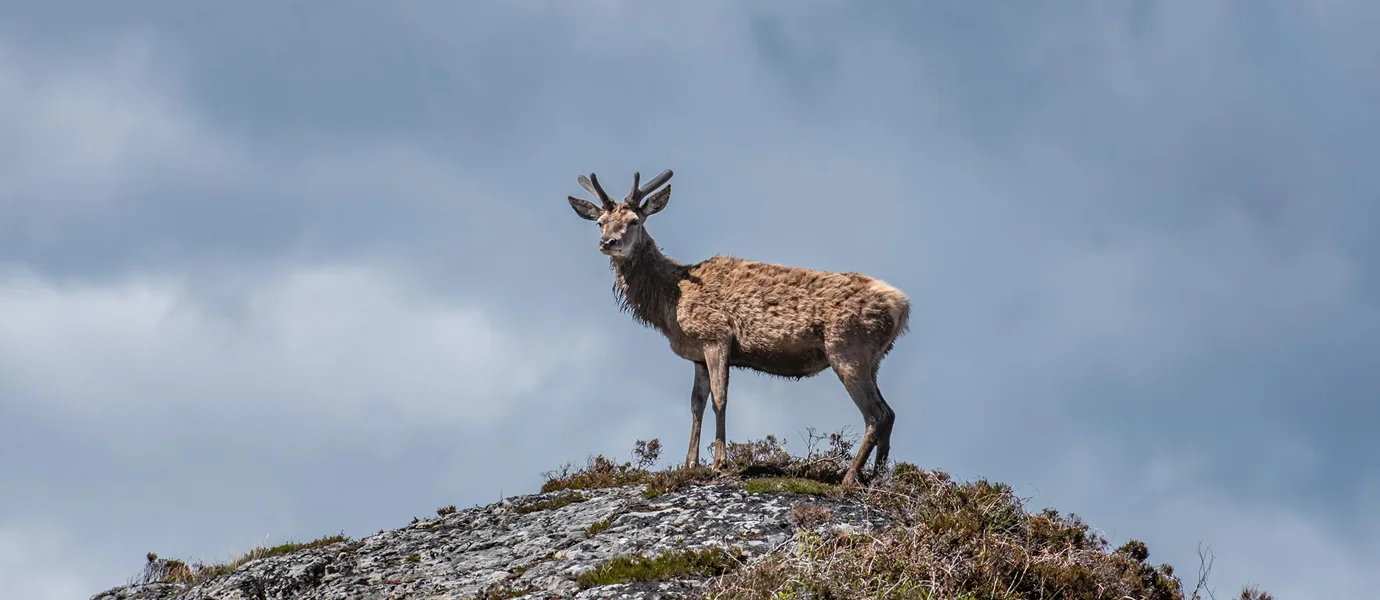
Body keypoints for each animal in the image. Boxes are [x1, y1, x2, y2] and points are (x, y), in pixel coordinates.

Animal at [565, 169, 911, 487]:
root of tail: (901, 305)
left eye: (635, 220)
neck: (670, 302)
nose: (608, 242)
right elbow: (696, 404)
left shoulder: (716, 336)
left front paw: (720, 463)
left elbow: (720, 398)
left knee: (876, 414)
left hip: (847, 349)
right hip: (872, 359)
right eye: (600, 222)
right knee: (890, 413)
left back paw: (851, 477)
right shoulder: (697, 354)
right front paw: (689, 464)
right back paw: (878, 478)